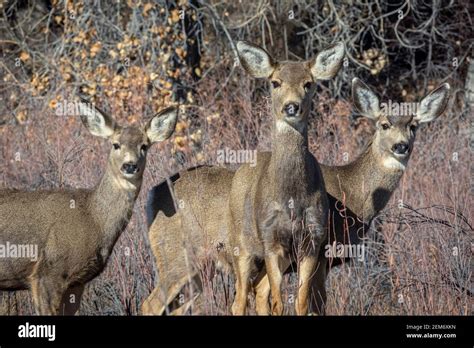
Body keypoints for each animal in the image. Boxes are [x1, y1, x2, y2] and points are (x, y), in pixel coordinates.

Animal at [0, 101, 178, 316]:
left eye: (144, 146)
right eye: (115, 144)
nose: (129, 165)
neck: (93, 218)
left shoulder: (77, 282)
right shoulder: (47, 273)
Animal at [141, 40, 344, 316]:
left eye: (308, 83)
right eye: (275, 82)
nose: (291, 106)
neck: (291, 196)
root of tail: (153, 194)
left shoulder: (312, 240)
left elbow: (300, 303)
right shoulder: (270, 240)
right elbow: (278, 304)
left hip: (200, 268)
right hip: (182, 254)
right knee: (153, 303)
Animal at [254, 77, 450, 316]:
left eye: (413, 126)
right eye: (384, 124)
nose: (401, 145)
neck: (351, 193)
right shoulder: (322, 250)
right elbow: (317, 303)